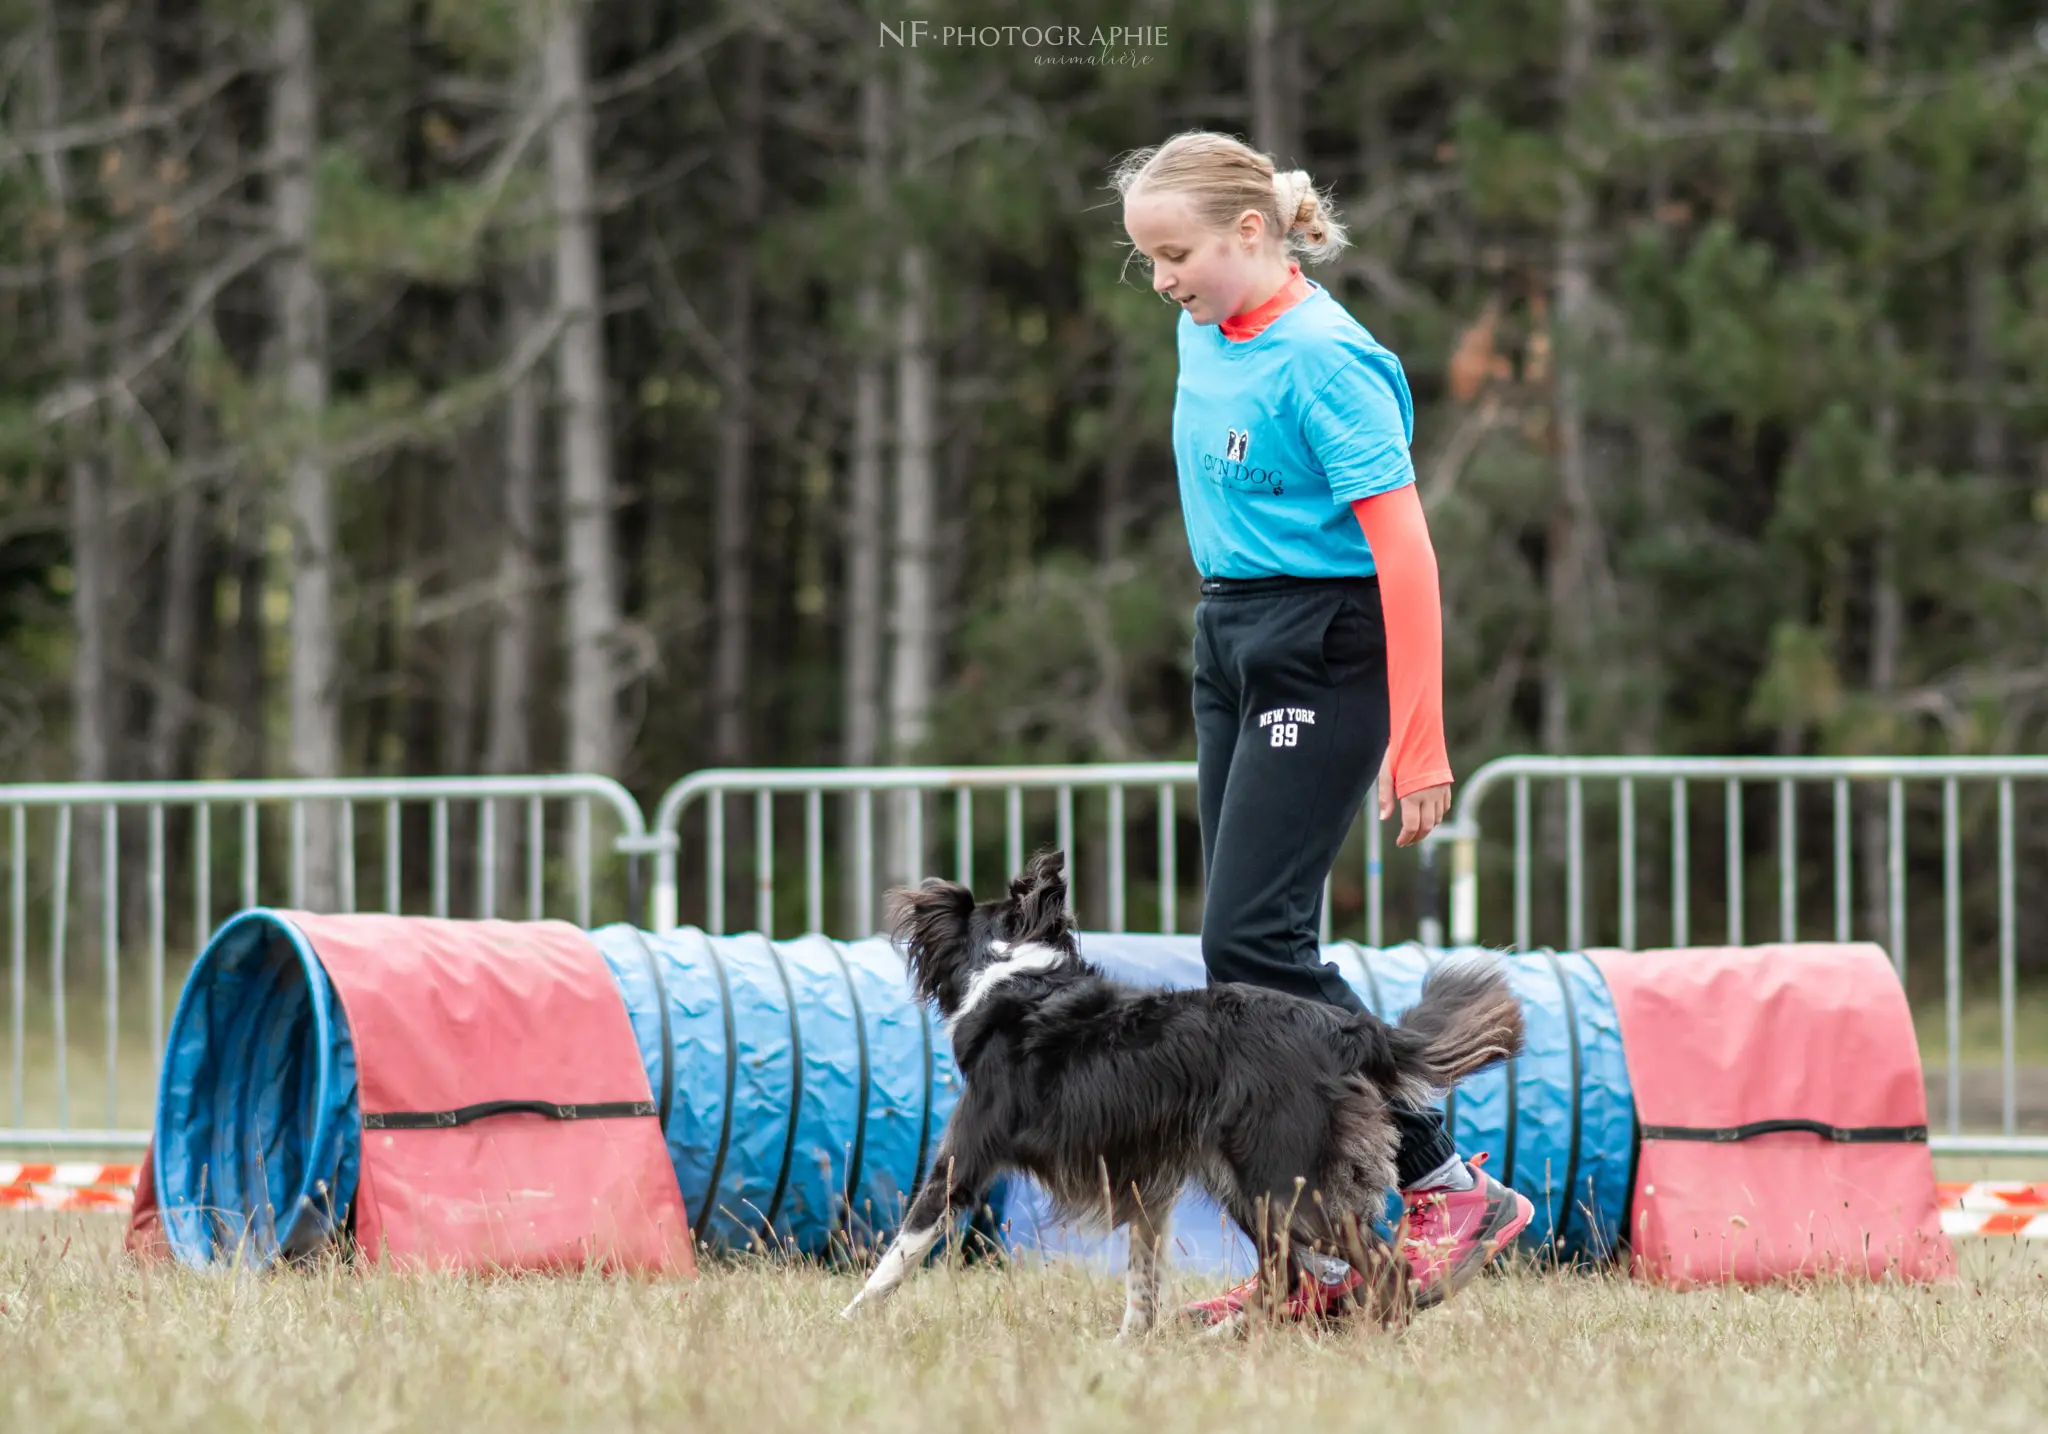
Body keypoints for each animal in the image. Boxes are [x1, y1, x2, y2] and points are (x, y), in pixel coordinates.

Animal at [831, 852, 1523, 1335]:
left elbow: (900, 1252)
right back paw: (1228, 1338)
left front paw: (846, 1323)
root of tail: (1347, 1029)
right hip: (1247, 1184)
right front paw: (1129, 1349)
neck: (1015, 975)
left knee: (1380, 1268)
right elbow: (1142, 1279)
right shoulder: (1148, 1186)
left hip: (1281, 1183)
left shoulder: (959, 1164)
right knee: (1286, 1275)